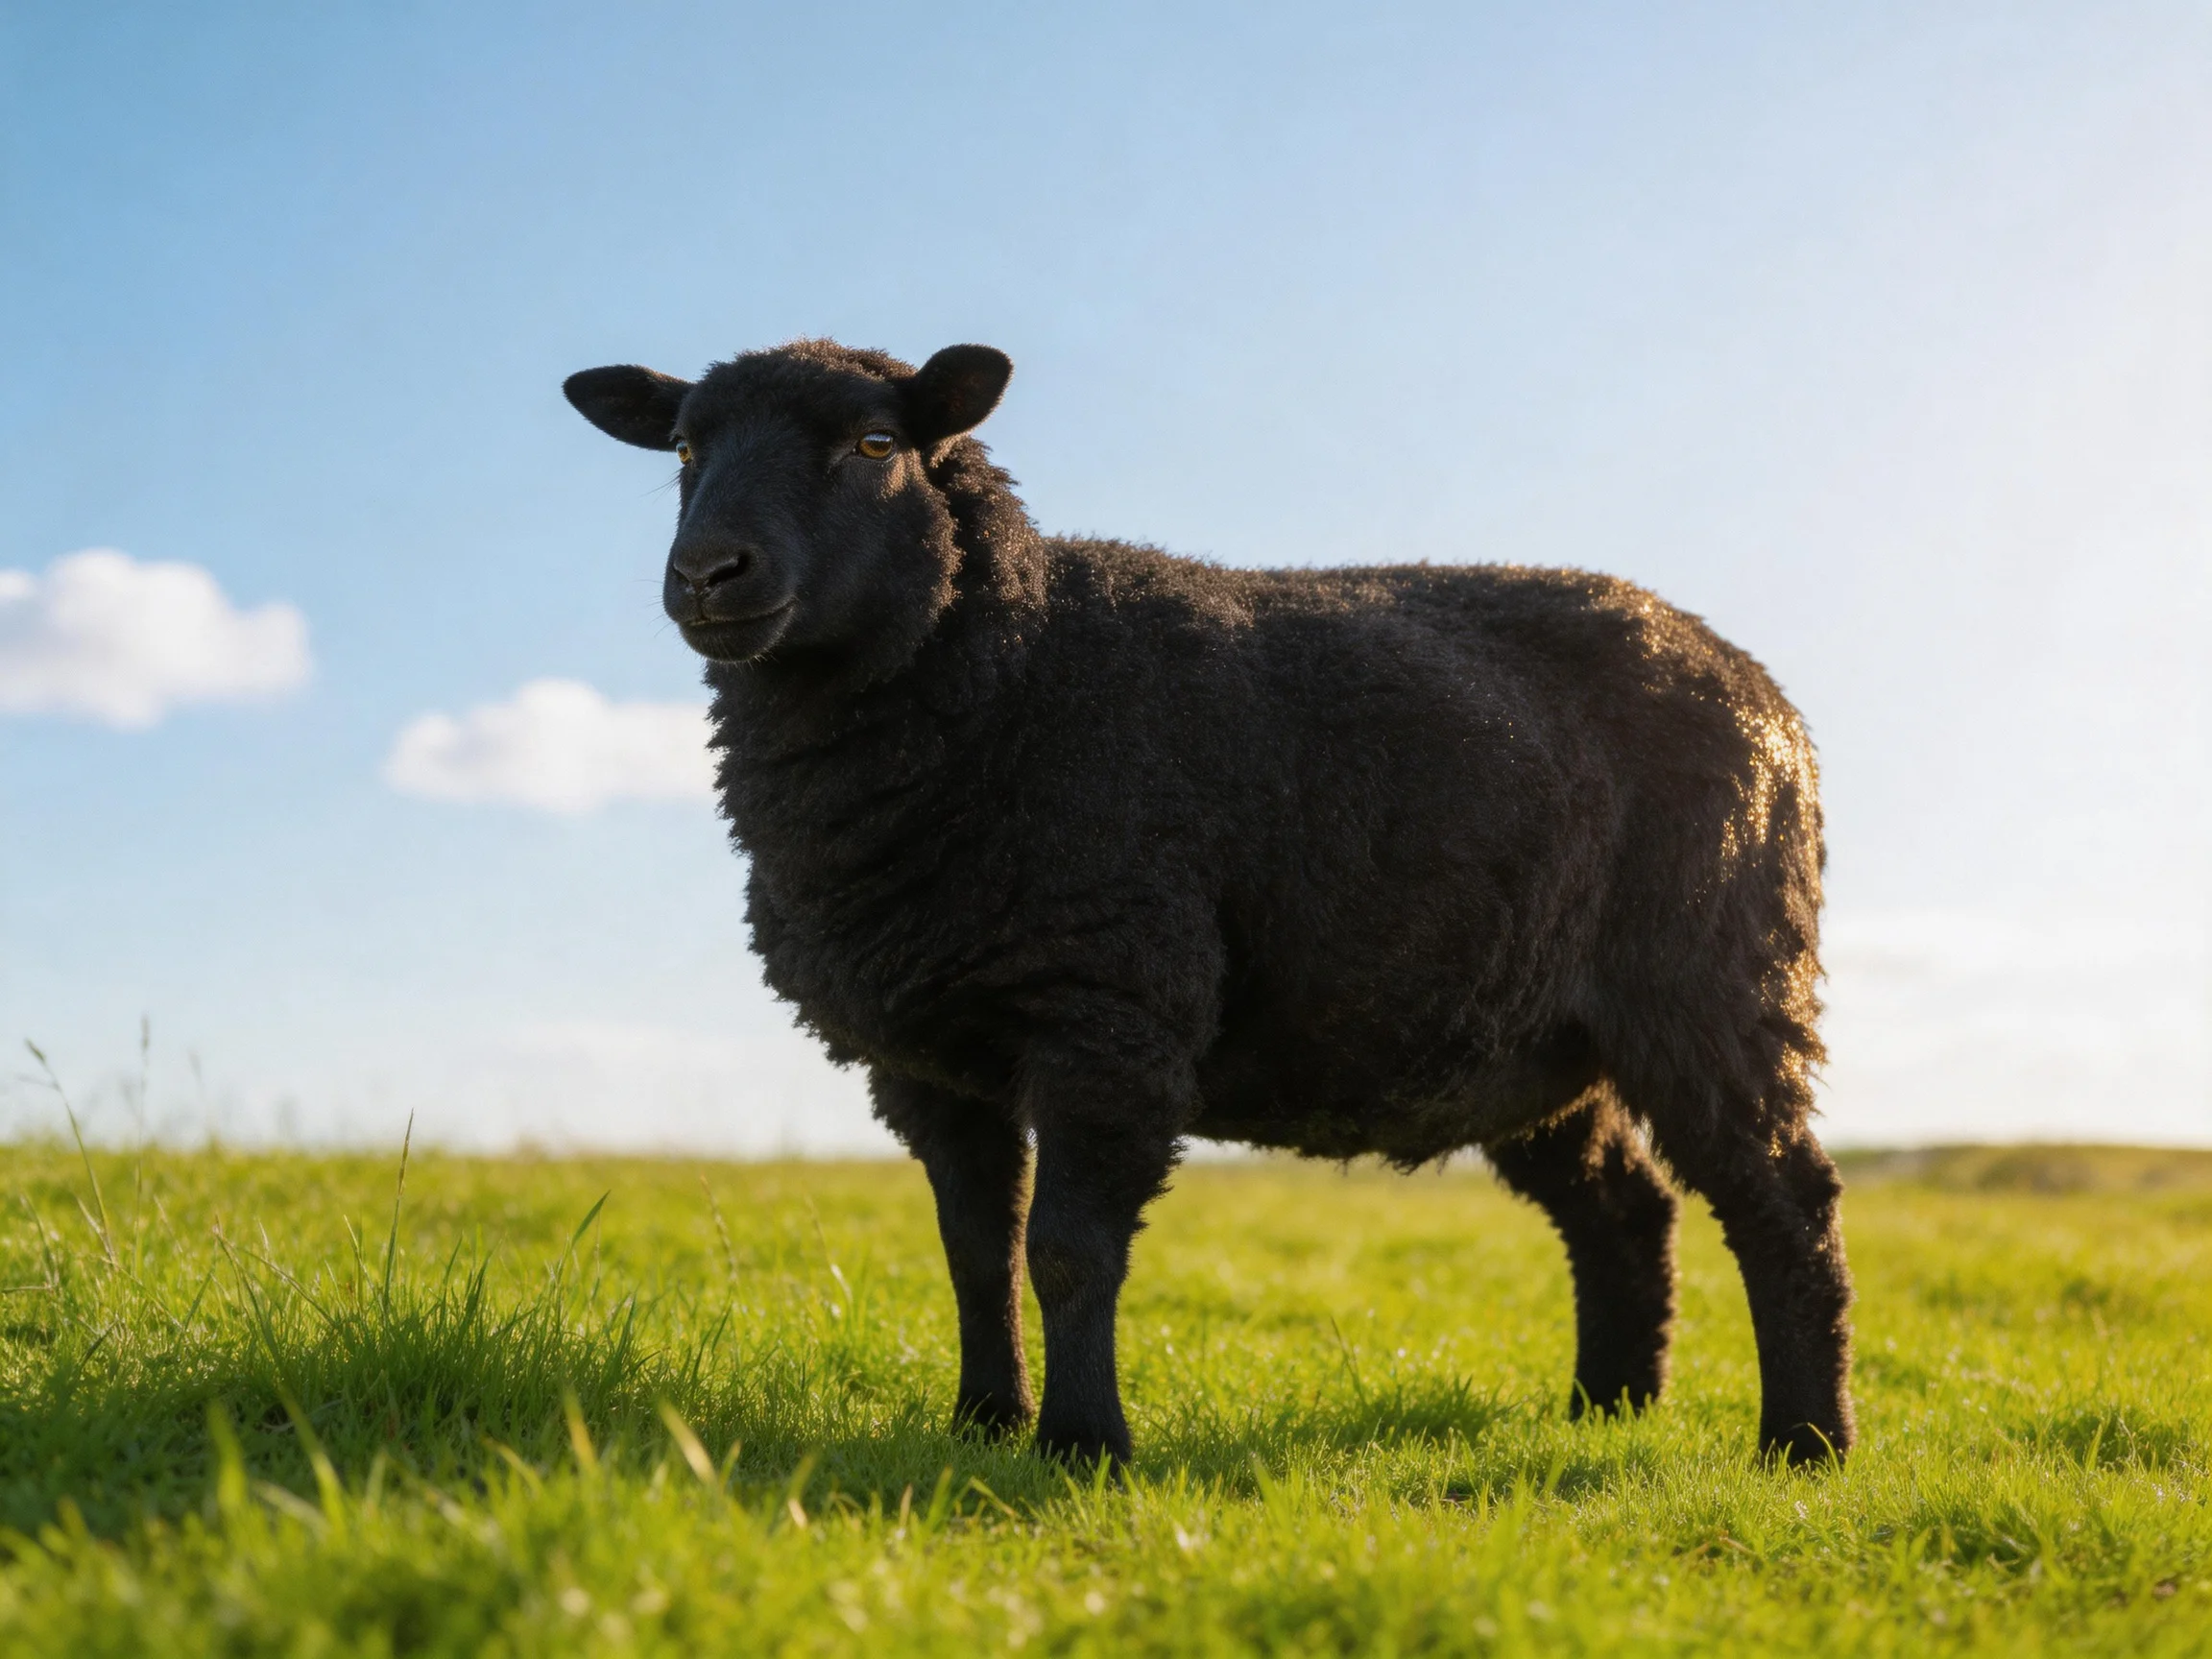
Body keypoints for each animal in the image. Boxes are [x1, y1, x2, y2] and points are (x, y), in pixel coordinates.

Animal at [563, 339, 1855, 1467]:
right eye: (684, 450)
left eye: (876, 442)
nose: (708, 574)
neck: (1016, 664)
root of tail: (1763, 689)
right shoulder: (924, 1053)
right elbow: (975, 1252)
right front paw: (983, 1421)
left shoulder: (1109, 1010)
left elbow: (1069, 1251)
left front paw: (1083, 1446)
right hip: (1533, 1041)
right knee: (1625, 1211)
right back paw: (1609, 1406)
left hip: (1713, 979)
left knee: (1783, 1202)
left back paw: (1804, 1443)